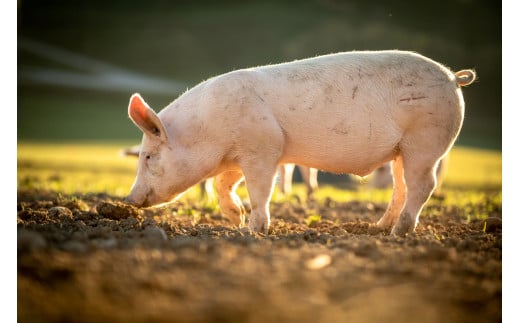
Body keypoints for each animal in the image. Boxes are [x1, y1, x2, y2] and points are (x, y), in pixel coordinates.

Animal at [125, 51, 476, 238]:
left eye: (148, 156)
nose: (129, 199)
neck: (208, 129)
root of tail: (452, 78)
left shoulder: (263, 148)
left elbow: (259, 191)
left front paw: (254, 230)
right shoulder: (238, 156)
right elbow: (223, 184)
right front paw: (237, 220)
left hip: (426, 141)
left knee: (423, 185)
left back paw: (398, 233)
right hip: (402, 151)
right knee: (400, 187)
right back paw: (378, 227)